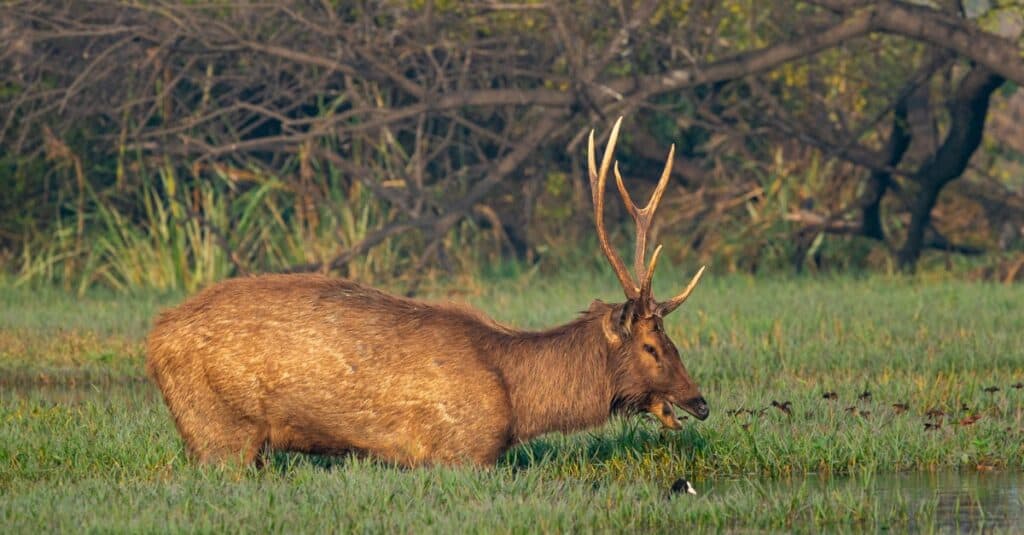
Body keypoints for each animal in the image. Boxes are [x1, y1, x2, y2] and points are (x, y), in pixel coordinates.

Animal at [148, 115, 708, 461]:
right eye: (652, 345)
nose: (701, 402)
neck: (519, 400)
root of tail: (155, 338)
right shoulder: (461, 450)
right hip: (220, 431)